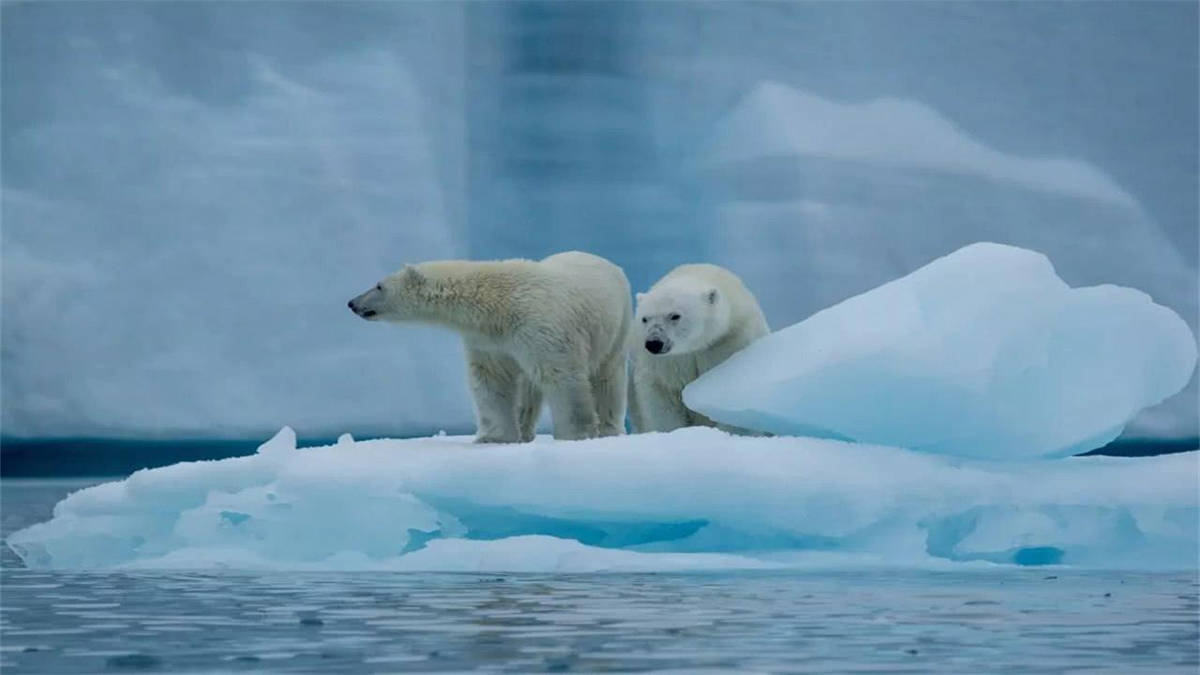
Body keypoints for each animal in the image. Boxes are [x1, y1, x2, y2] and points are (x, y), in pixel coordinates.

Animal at [348, 251, 633, 441]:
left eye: (378, 285)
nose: (352, 303)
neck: (498, 305)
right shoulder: (490, 341)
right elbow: (491, 381)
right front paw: (494, 438)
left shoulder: (541, 326)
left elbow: (562, 377)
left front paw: (574, 435)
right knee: (528, 387)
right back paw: (524, 430)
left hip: (616, 324)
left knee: (608, 377)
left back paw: (609, 430)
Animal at [628, 263, 768, 429]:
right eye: (645, 318)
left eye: (675, 315)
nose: (654, 343)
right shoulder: (666, 363)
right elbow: (662, 396)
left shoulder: (728, 343)